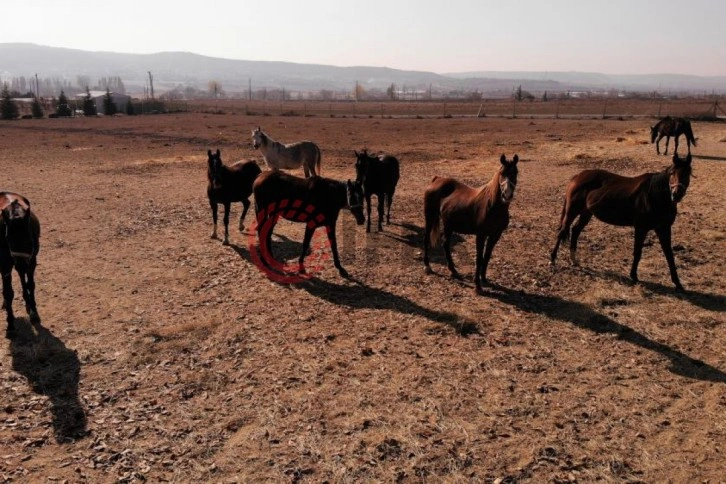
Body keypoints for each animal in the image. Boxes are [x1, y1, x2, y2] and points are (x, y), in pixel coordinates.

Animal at [0, 192, 40, 336]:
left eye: (30, 239)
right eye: (8, 239)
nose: (22, 266)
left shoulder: (32, 260)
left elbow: (30, 284)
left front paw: (33, 311)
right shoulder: (5, 266)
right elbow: (8, 293)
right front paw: (10, 324)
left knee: (23, 279)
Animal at [424, 154, 520, 294]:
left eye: (516, 172)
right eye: (502, 173)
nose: (506, 195)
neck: (493, 206)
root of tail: (436, 180)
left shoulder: (495, 235)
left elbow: (487, 256)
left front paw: (484, 279)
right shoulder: (481, 235)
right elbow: (479, 258)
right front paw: (477, 286)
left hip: (448, 225)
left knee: (446, 244)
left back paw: (453, 270)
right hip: (430, 218)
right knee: (426, 239)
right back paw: (427, 266)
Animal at [552, 154, 692, 292]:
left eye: (688, 173)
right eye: (672, 173)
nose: (676, 194)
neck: (653, 195)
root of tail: (577, 176)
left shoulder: (664, 228)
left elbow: (669, 255)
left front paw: (678, 284)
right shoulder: (641, 228)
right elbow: (638, 252)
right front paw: (634, 276)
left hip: (586, 213)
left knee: (575, 230)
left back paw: (574, 260)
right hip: (572, 211)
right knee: (562, 232)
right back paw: (553, 259)